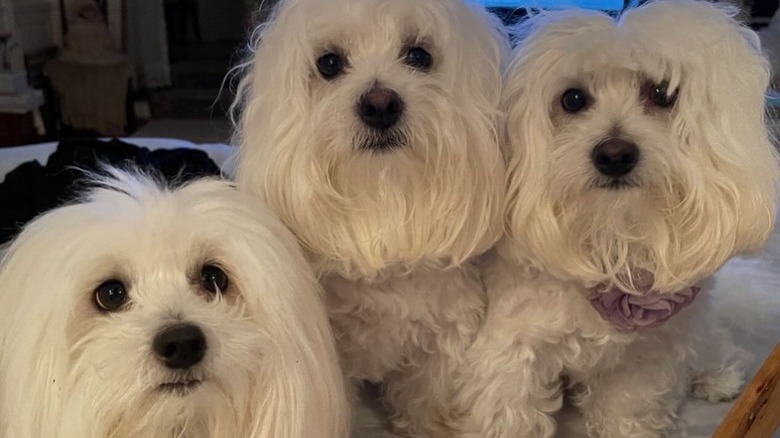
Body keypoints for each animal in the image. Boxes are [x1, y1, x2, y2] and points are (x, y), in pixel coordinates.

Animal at [450, 0, 780, 438]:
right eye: (572, 99)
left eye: (662, 93)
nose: (614, 155)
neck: (613, 240)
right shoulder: (512, 353)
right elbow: (510, 412)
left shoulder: (645, 358)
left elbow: (629, 409)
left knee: (711, 337)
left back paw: (717, 375)